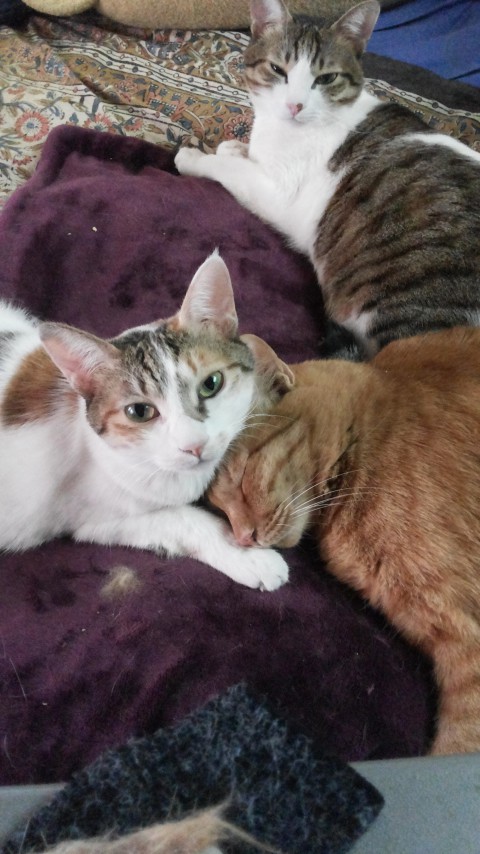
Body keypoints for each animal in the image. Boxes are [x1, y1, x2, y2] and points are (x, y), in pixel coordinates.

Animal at [0, 252, 294, 591]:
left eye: (212, 384)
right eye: (140, 412)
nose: (194, 445)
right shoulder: (93, 519)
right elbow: (183, 518)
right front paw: (249, 556)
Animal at [175, 0, 480, 359]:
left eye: (326, 78)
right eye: (278, 70)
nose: (294, 105)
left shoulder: (277, 193)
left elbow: (227, 168)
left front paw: (195, 157)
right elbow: (237, 154)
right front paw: (234, 147)